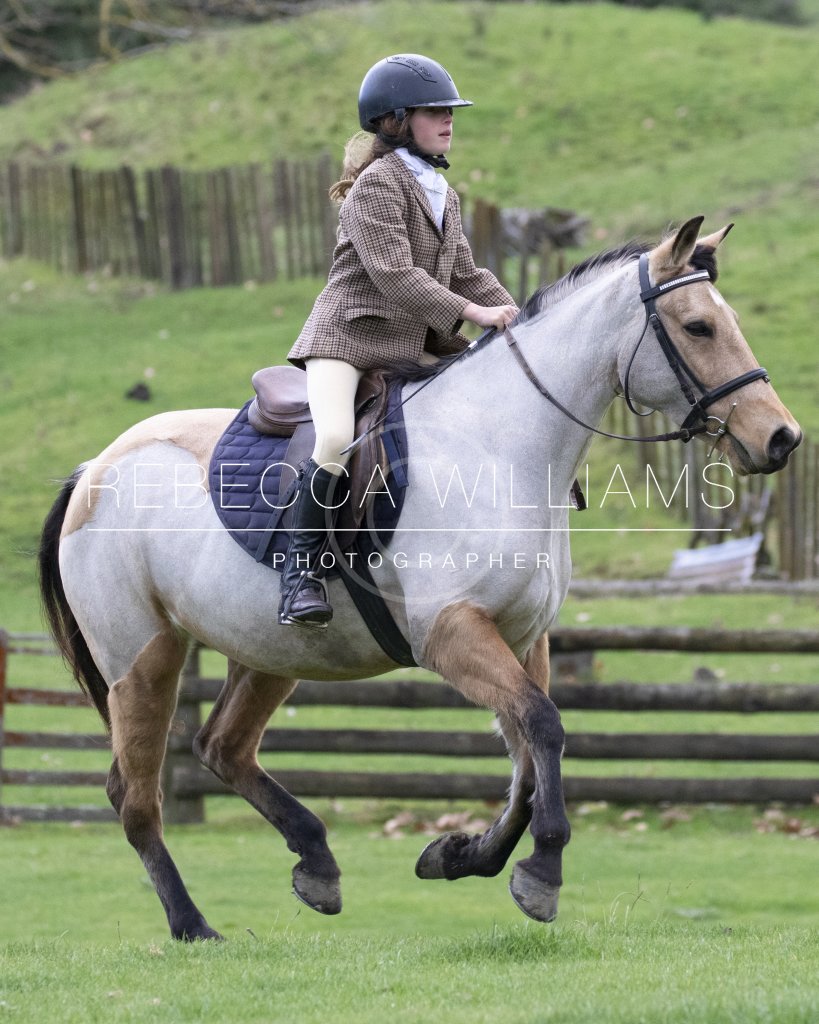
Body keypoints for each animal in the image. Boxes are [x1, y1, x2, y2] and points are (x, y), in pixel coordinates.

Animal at [39, 217, 801, 940]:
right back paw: (193, 924)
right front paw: (541, 872)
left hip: (268, 650)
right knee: (137, 798)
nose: (781, 437)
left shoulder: (522, 638)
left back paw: (316, 864)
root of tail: (94, 468)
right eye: (698, 326)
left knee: (221, 748)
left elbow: (528, 758)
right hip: (143, 656)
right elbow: (543, 727)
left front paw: (460, 856)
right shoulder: (451, 633)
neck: (501, 445)